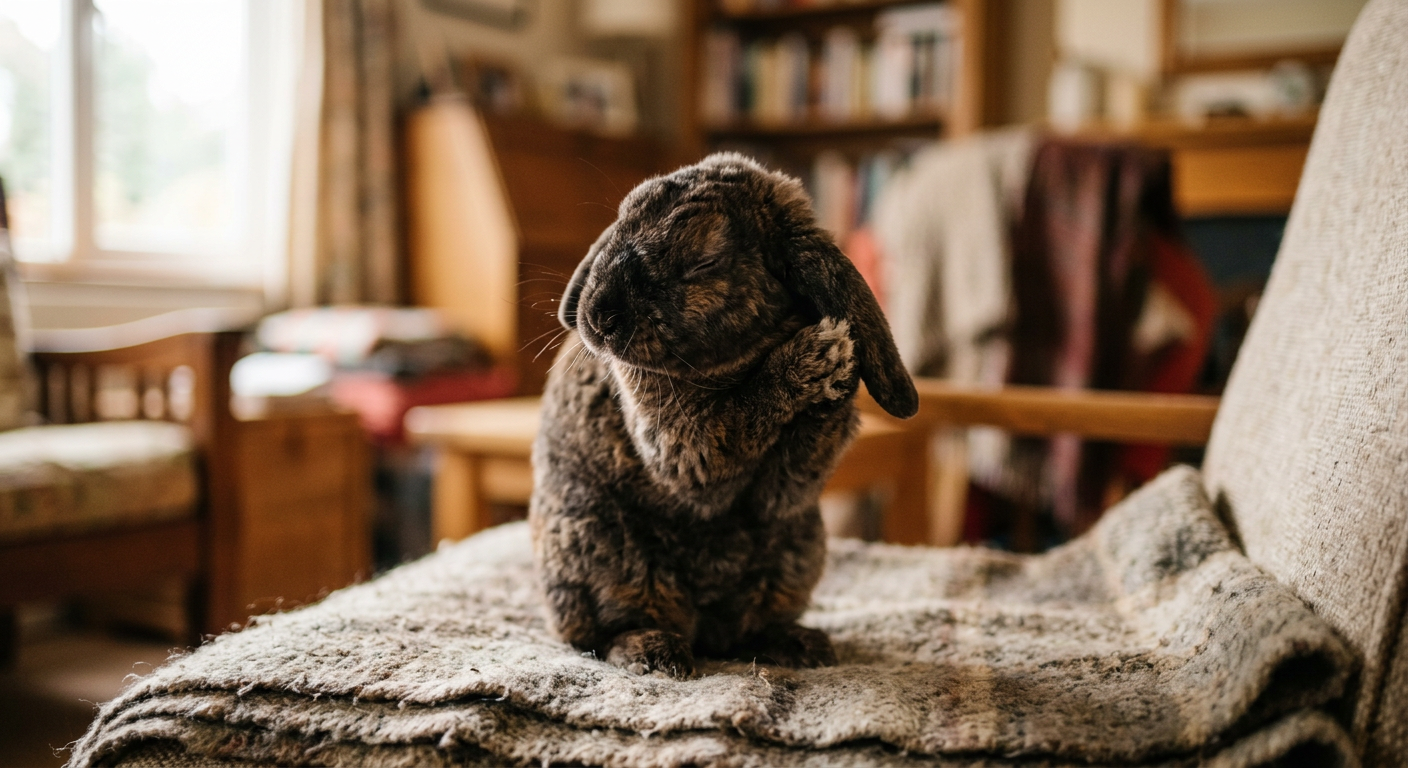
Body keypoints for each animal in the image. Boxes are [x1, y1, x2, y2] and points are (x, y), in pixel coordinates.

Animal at [529, 152, 917, 678]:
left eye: (704, 260)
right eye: (621, 219)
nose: (597, 317)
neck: (739, 356)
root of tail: (704, 628)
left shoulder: (787, 487)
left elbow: (794, 465)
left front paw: (838, 365)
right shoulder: (687, 447)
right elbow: (736, 419)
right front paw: (818, 355)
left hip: (797, 550)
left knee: (748, 632)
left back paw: (800, 644)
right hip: (597, 548)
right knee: (603, 634)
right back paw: (657, 653)